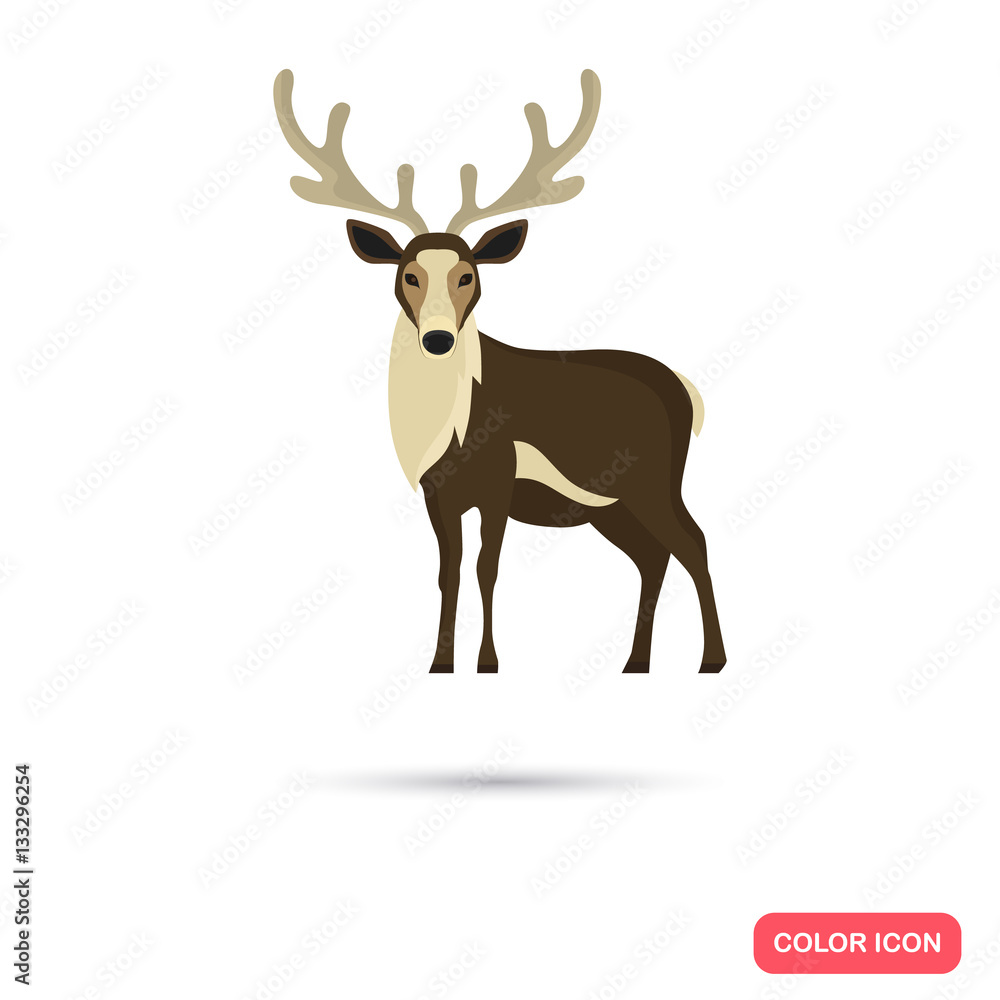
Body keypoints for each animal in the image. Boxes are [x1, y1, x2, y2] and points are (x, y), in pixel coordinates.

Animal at [273, 68, 726, 674]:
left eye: (467, 273)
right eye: (408, 273)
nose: (438, 338)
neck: (450, 430)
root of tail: (687, 393)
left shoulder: (499, 482)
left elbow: (487, 568)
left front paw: (488, 662)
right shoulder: (437, 493)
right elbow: (449, 573)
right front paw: (441, 664)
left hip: (654, 480)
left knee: (693, 543)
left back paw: (712, 659)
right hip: (611, 503)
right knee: (651, 556)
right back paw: (636, 663)